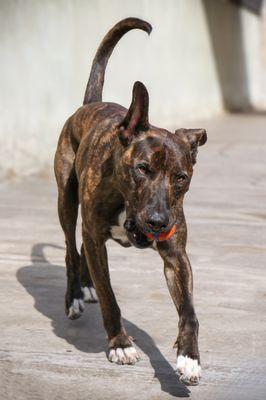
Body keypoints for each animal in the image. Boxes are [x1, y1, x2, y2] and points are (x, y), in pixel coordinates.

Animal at [54, 17, 207, 386]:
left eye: (181, 178)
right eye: (143, 168)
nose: (158, 222)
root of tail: (89, 105)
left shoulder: (176, 257)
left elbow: (190, 312)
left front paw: (189, 358)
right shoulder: (97, 238)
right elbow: (110, 296)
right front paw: (120, 344)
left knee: (80, 247)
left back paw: (86, 286)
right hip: (66, 201)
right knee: (70, 248)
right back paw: (75, 295)